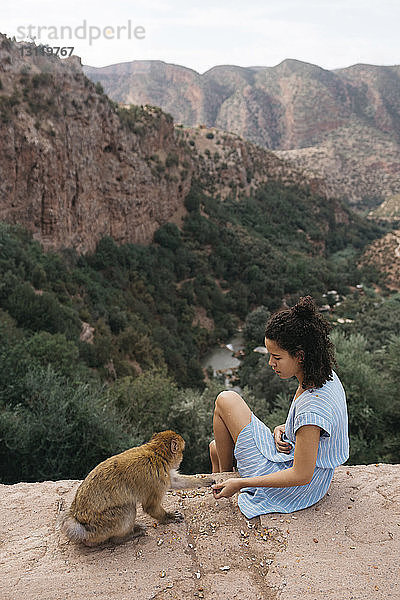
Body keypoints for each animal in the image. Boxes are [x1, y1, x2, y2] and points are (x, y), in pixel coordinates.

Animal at [60, 428, 216, 548]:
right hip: (101, 527)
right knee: (128, 508)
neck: (156, 452)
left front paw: (205, 481)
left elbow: (175, 481)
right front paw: (168, 517)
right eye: (182, 451)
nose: (182, 456)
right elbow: (151, 507)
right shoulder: (157, 479)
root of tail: (78, 521)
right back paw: (124, 537)